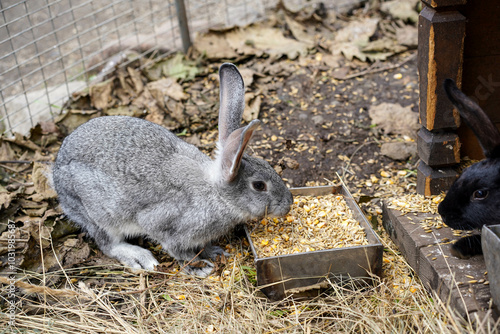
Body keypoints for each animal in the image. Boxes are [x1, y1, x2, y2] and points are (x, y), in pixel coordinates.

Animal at [51, 62, 292, 276]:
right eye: (259, 186)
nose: (288, 204)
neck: (217, 194)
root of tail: (56, 173)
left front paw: (213, 251)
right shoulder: (167, 226)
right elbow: (177, 250)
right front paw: (199, 267)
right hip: (98, 214)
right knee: (108, 244)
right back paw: (140, 257)